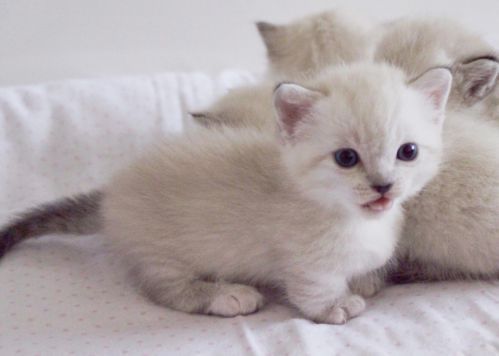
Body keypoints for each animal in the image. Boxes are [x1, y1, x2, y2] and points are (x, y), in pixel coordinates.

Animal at [0, 63, 454, 322]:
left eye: (408, 152)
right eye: (347, 158)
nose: (383, 186)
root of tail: (111, 191)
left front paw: (364, 280)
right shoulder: (304, 260)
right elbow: (314, 288)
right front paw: (335, 306)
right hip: (161, 252)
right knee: (163, 289)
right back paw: (226, 297)